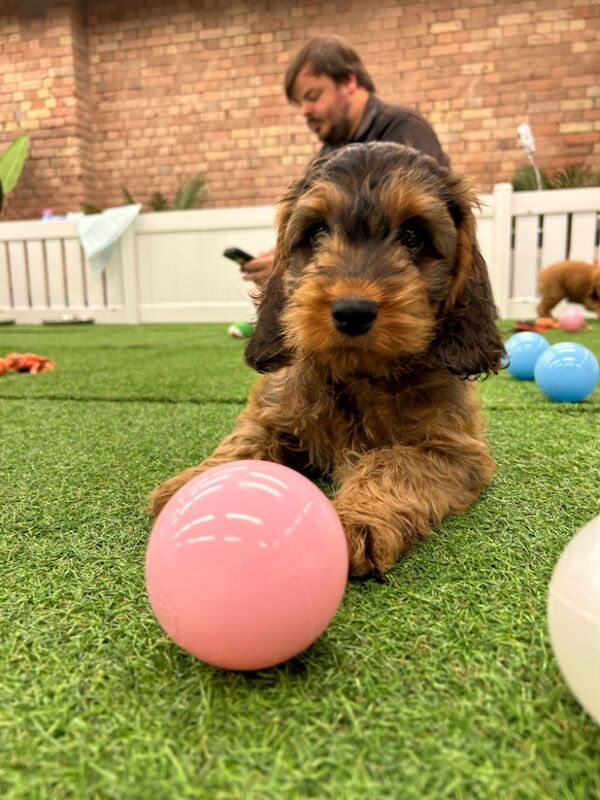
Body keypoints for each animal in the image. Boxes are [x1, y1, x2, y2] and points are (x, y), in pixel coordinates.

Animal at [148, 141, 504, 572]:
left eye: (413, 235)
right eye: (317, 230)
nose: (353, 311)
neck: (357, 378)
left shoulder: (453, 451)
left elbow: (393, 462)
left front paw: (356, 519)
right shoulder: (270, 413)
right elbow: (243, 444)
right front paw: (198, 486)